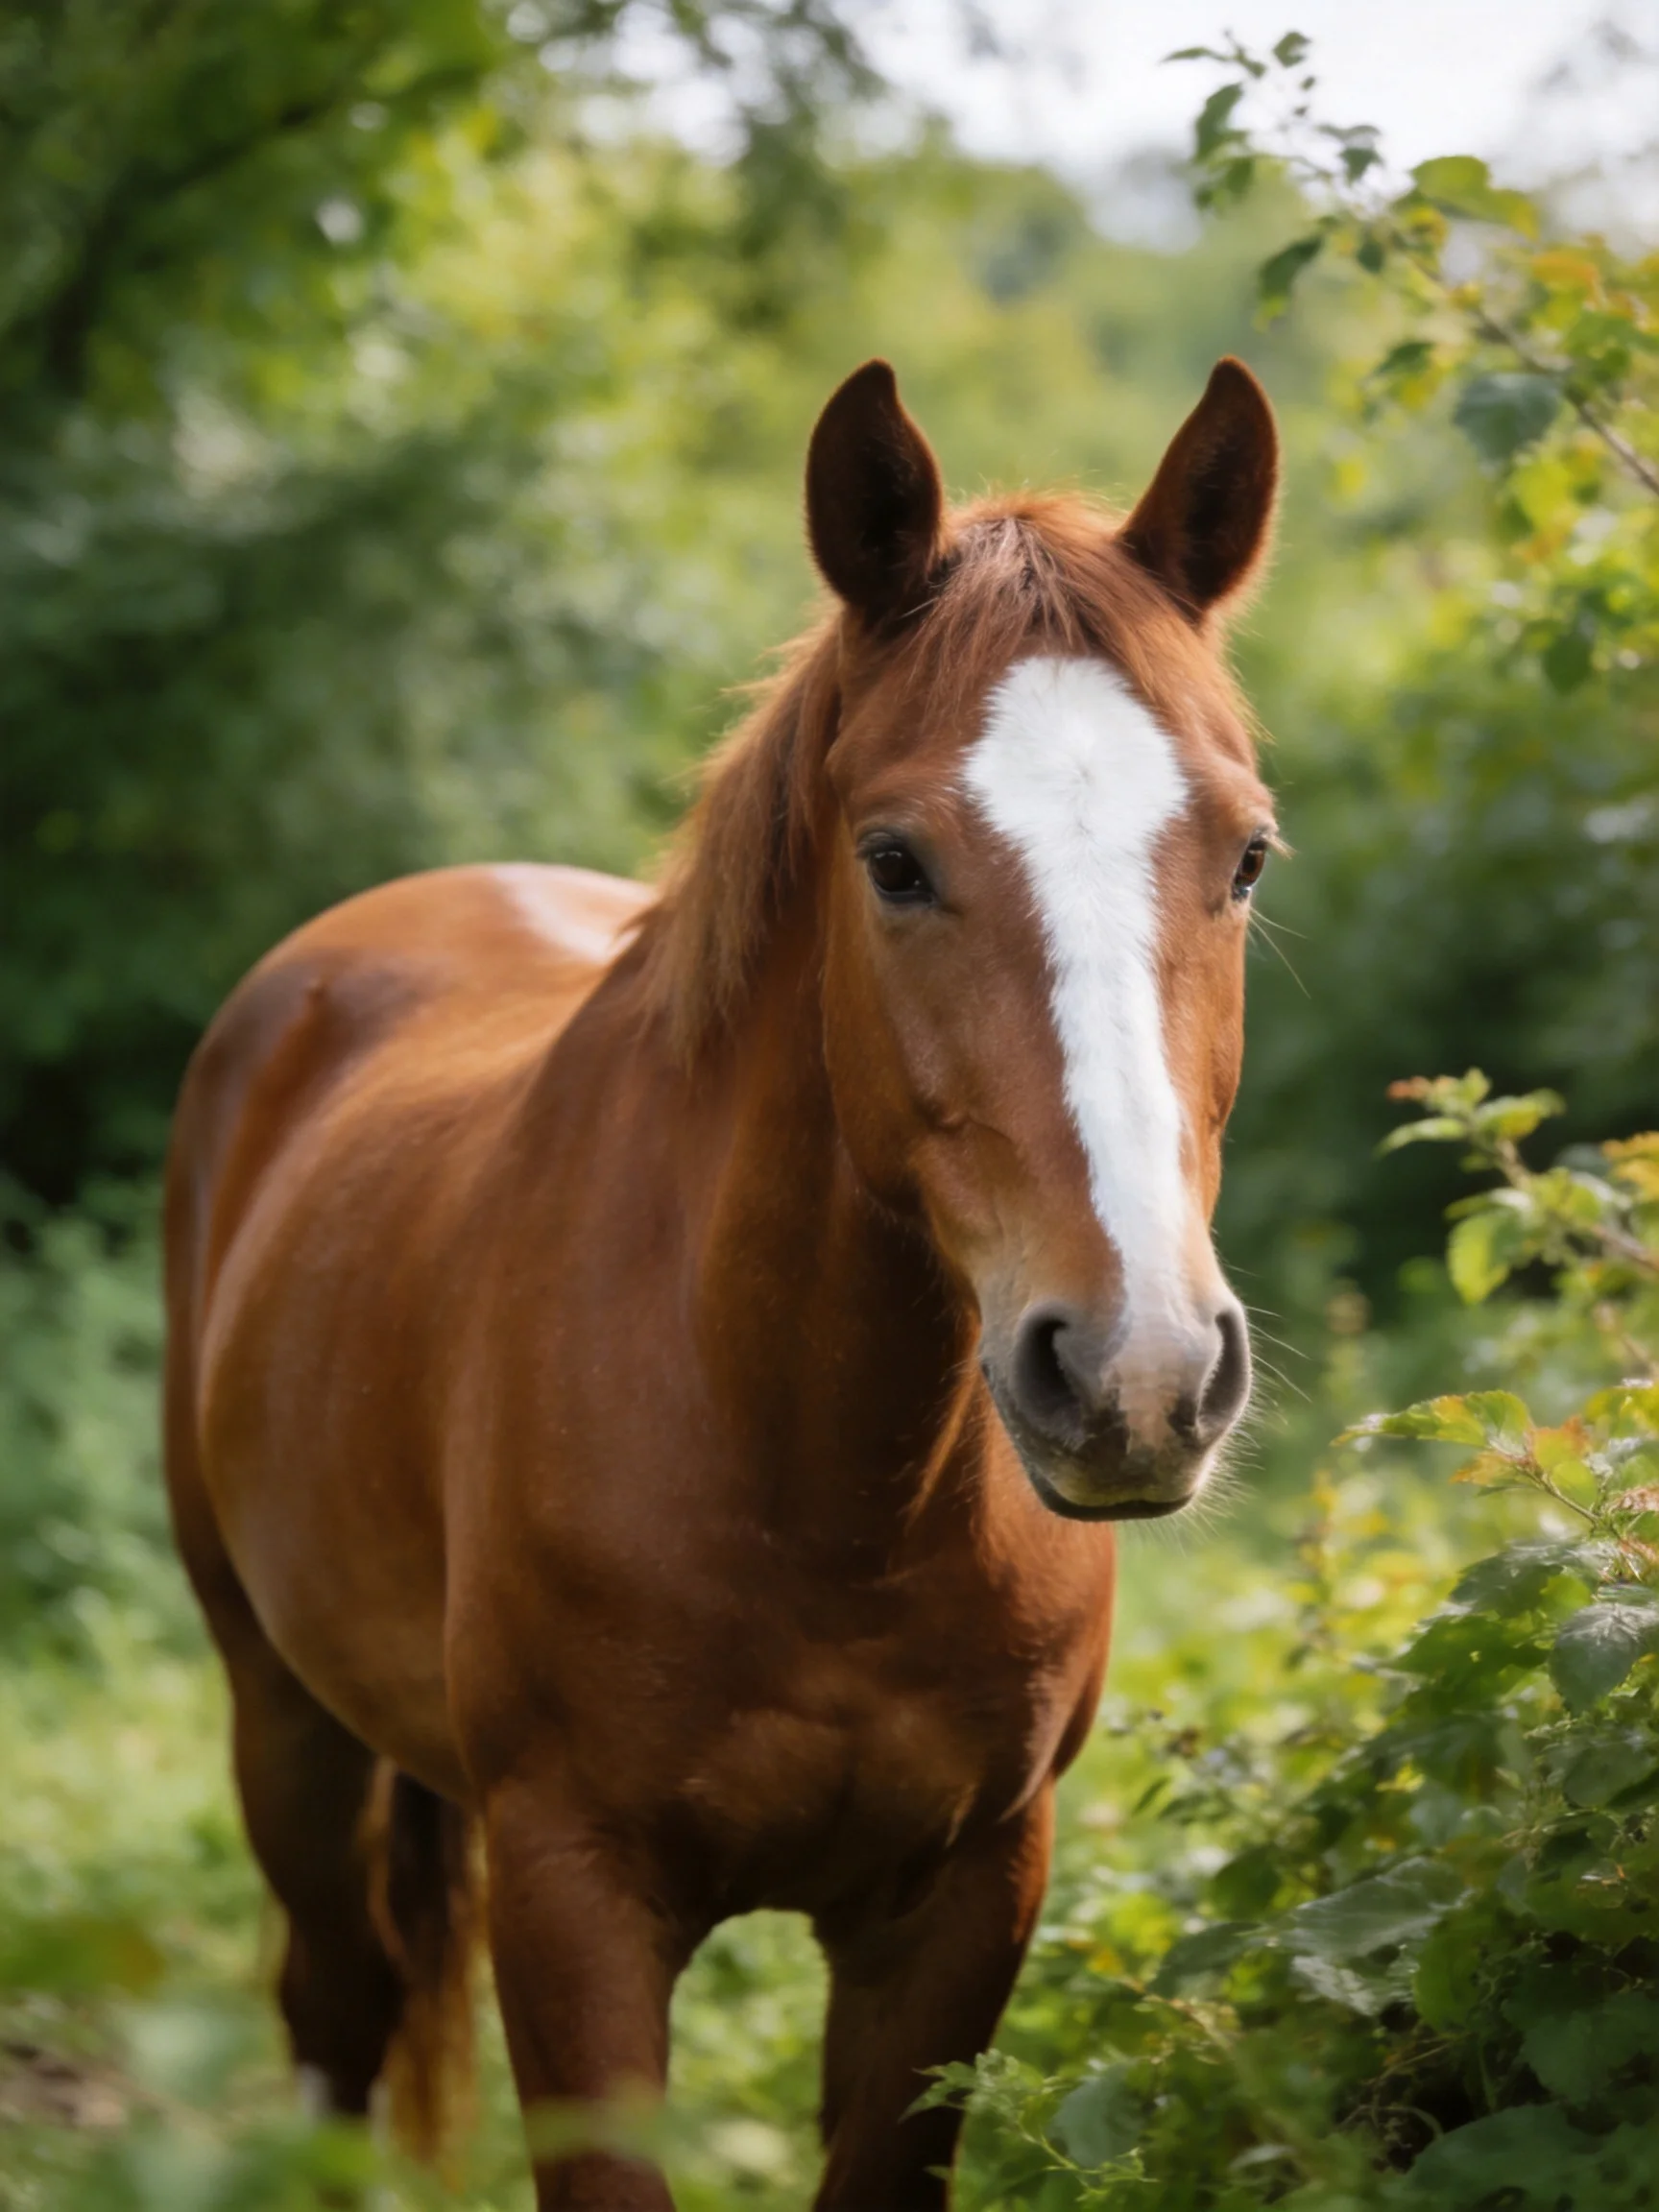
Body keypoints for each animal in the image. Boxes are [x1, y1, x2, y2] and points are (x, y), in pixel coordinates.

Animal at [162, 353, 1279, 2209]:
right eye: (893, 860)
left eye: (1247, 856)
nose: (1138, 1374)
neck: (808, 1479)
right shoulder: (575, 1901)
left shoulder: (963, 1904)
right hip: (285, 1726)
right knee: (333, 2006)